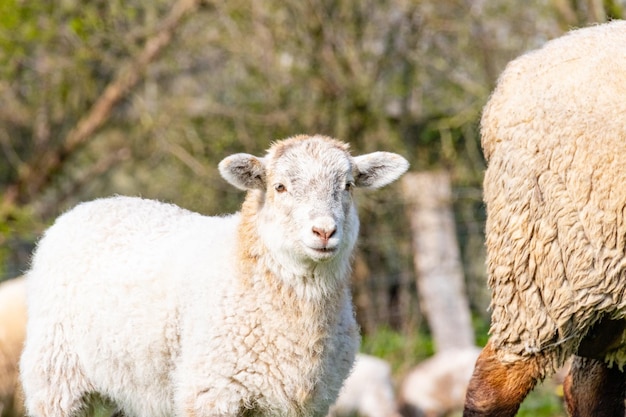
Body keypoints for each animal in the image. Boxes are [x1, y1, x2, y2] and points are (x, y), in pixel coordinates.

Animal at [18, 133, 410, 416]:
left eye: (348, 186)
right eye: (280, 187)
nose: (324, 232)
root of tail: (93, 204)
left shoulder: (307, 402)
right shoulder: (211, 392)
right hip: (54, 375)